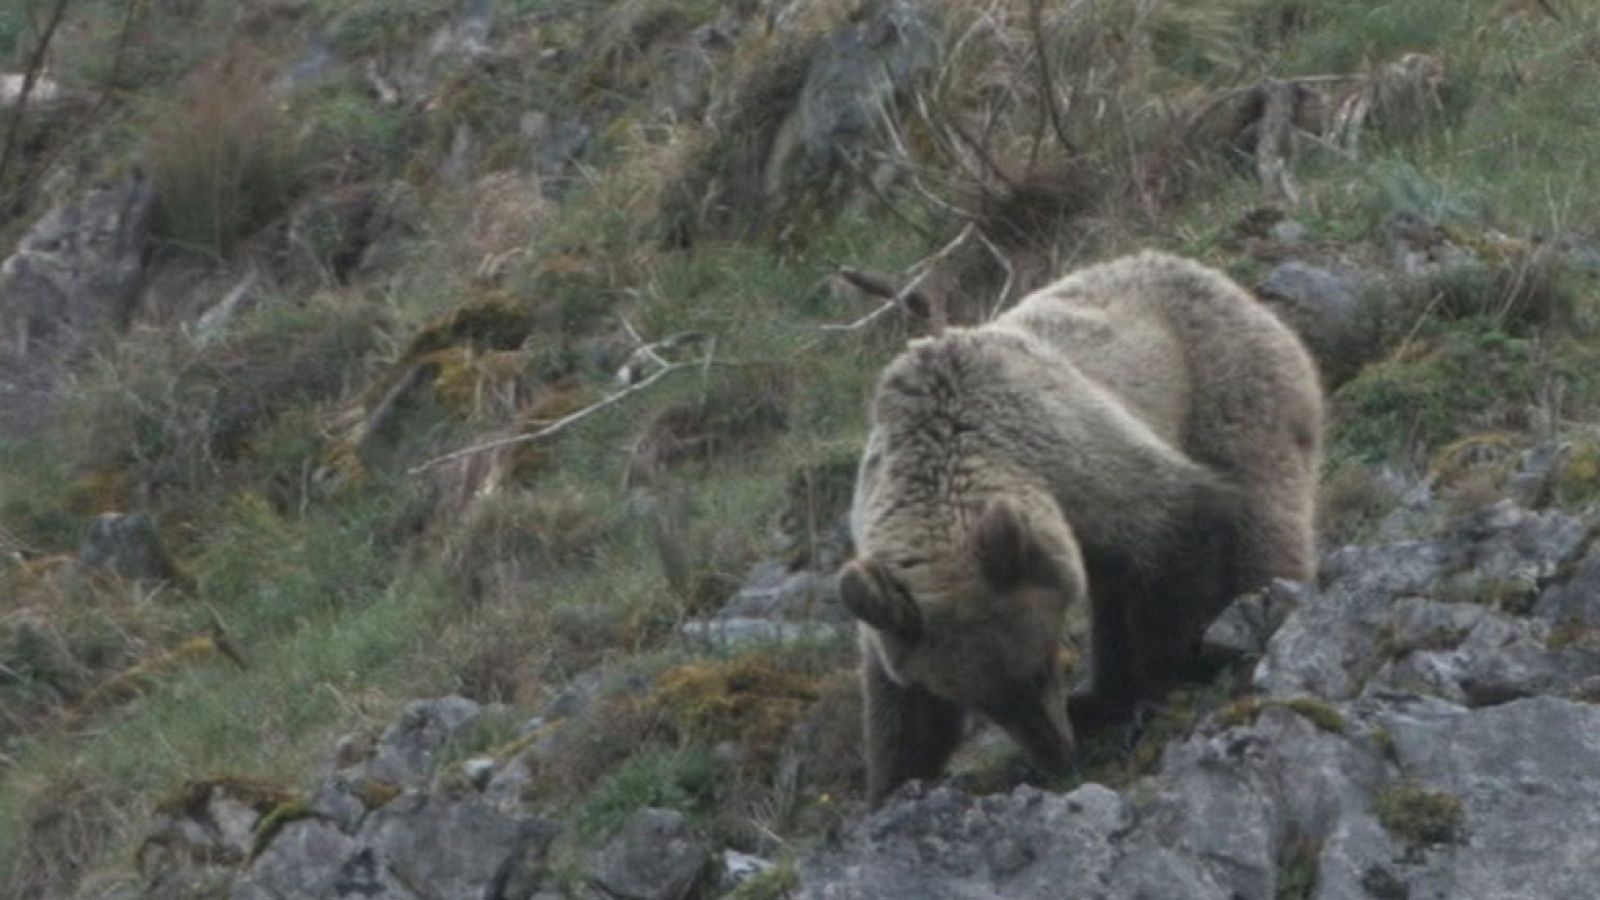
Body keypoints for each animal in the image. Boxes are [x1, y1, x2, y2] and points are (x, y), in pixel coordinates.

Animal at [839, 250, 1323, 804]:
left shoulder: (1081, 462)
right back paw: (1102, 696)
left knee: (1261, 517)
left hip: (1226, 387)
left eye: (1041, 666)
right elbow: (897, 706)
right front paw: (894, 783)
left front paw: (1164, 680)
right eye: (980, 703)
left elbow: (1182, 531)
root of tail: (1205, 271)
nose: (1058, 757)